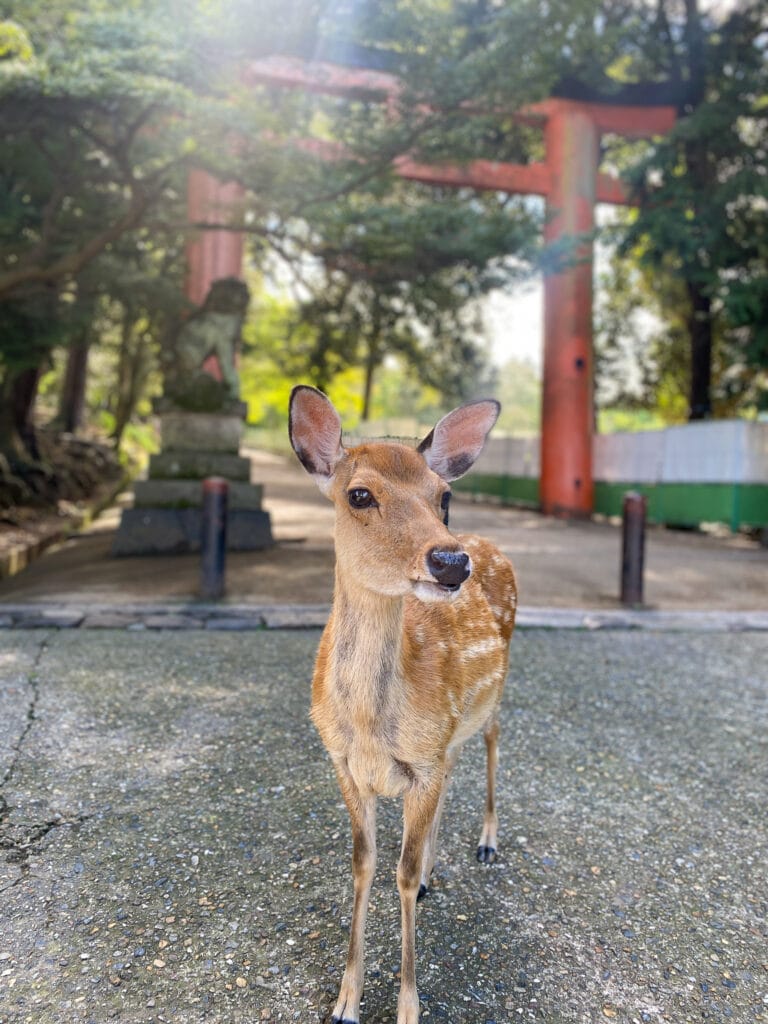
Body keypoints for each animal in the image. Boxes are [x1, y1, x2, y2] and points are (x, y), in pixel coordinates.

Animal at [288, 385, 518, 1024]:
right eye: (359, 494)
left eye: (444, 497)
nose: (450, 561)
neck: (370, 727)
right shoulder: (343, 762)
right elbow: (364, 863)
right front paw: (346, 1000)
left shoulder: (421, 762)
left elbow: (403, 874)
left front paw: (409, 1007)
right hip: (449, 733)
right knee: (459, 763)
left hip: (494, 694)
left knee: (493, 742)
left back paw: (487, 843)